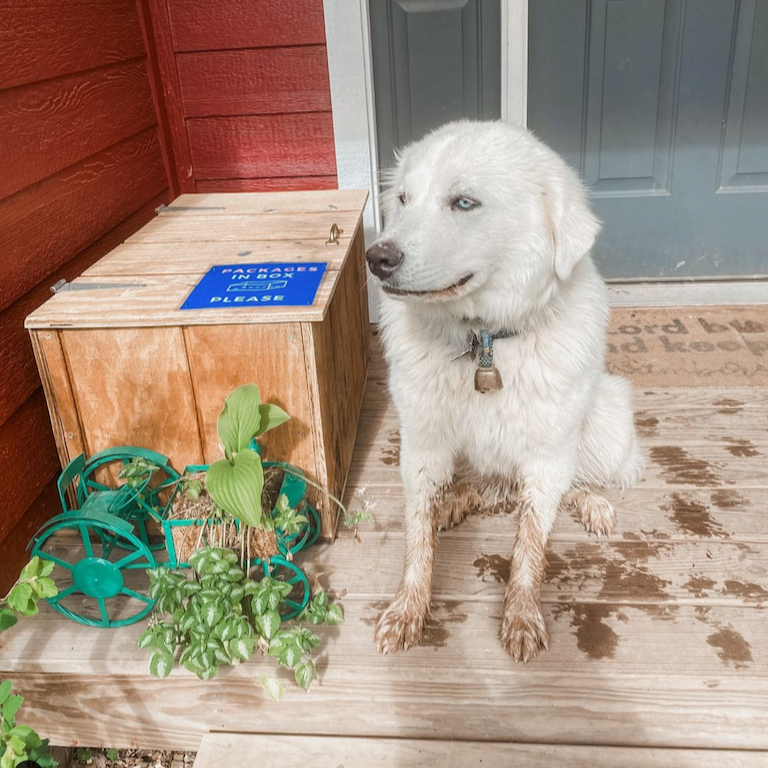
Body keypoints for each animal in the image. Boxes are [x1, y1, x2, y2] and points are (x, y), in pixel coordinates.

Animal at [364, 120, 640, 660]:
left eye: (464, 202)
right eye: (404, 198)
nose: (376, 258)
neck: (484, 341)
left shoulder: (549, 450)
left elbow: (531, 541)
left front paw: (522, 615)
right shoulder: (422, 443)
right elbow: (417, 536)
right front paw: (408, 611)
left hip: (607, 418)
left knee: (573, 484)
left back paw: (593, 504)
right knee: (479, 486)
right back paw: (457, 499)